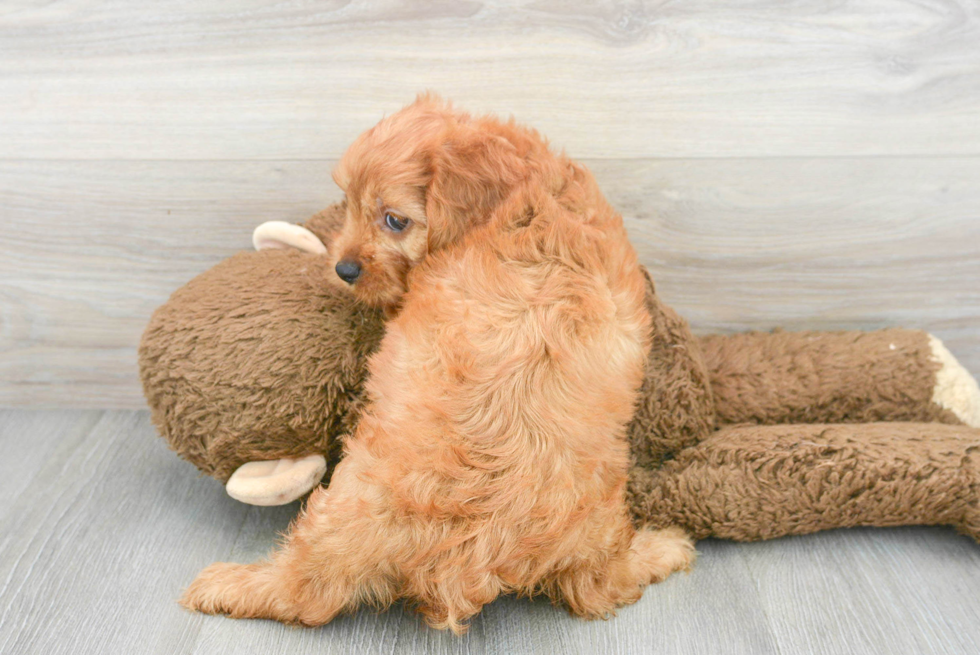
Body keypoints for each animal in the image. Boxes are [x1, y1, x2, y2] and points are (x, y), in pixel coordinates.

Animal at [180, 95, 692, 632]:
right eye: (350, 203)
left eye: (394, 220)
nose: (344, 269)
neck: (526, 195)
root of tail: (469, 558)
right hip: (599, 523)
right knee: (601, 584)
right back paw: (663, 548)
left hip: (340, 505)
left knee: (301, 594)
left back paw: (228, 584)